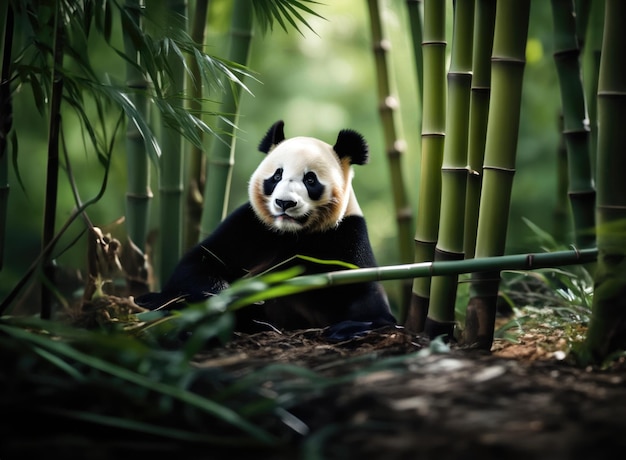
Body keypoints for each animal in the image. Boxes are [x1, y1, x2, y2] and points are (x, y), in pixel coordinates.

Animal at [136, 120, 394, 336]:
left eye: (310, 180)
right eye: (277, 175)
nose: (285, 203)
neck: (290, 233)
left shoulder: (346, 236)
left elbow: (366, 295)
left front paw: (353, 326)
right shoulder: (249, 225)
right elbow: (200, 263)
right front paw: (225, 297)